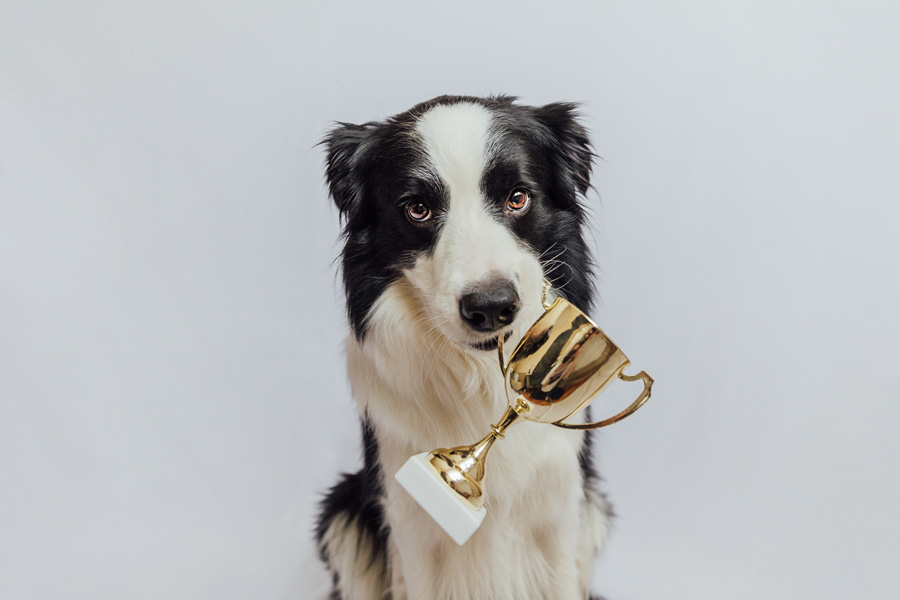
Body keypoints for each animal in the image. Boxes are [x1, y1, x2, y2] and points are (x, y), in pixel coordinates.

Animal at [316, 96, 612, 596]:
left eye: (518, 198)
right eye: (417, 208)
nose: (491, 307)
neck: (480, 381)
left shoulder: (559, 511)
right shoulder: (410, 522)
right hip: (343, 513)